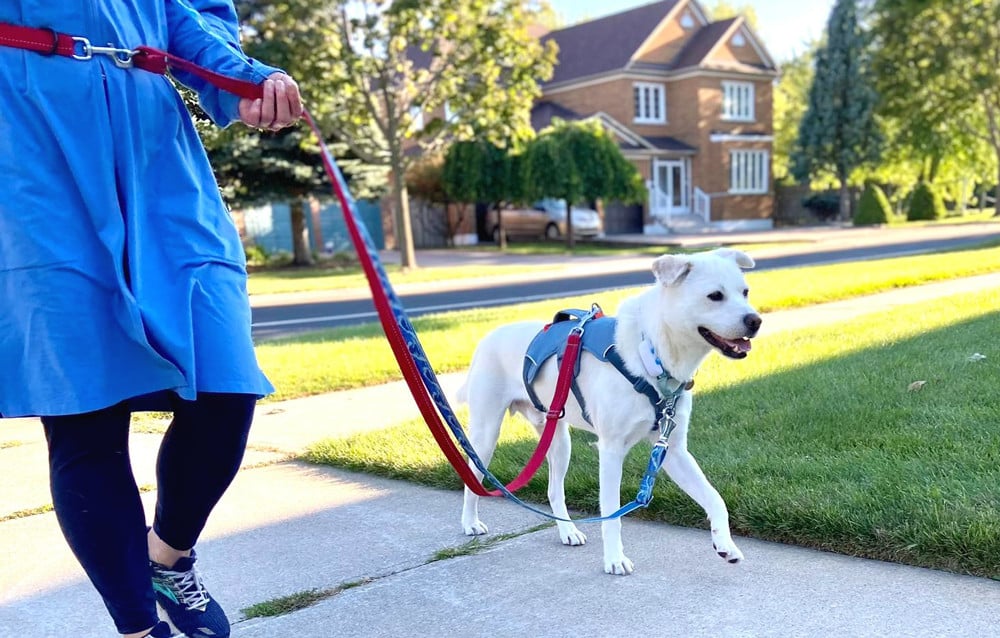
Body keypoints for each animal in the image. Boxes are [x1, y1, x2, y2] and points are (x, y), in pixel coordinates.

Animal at [458, 249, 760, 576]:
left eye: (745, 292)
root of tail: (489, 336)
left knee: (554, 490)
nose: (755, 320)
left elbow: (716, 499)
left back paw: (568, 531)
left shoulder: (674, 450)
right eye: (714, 296)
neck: (650, 352)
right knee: (473, 478)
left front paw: (725, 545)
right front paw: (614, 559)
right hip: (487, 433)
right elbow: (613, 513)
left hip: (558, 440)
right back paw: (470, 523)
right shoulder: (612, 450)